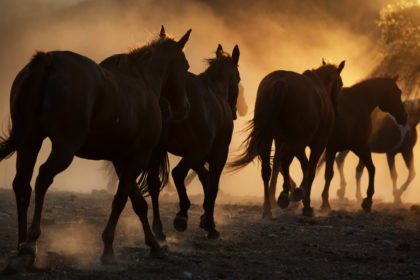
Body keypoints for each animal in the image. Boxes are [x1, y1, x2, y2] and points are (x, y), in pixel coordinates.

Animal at [0, 26, 191, 272]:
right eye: (185, 66)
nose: (185, 107)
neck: (142, 81)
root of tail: (49, 60)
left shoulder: (122, 160)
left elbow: (137, 203)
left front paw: (154, 245)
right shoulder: (137, 158)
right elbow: (120, 200)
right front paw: (108, 249)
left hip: (30, 141)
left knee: (22, 185)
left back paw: (20, 244)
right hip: (63, 149)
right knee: (42, 178)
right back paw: (31, 242)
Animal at [144, 43, 240, 238]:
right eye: (238, 79)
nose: (234, 112)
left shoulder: (196, 156)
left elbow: (205, 178)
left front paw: (205, 217)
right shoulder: (217, 154)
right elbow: (213, 185)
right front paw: (210, 224)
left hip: (160, 152)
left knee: (154, 183)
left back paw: (158, 228)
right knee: (177, 173)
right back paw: (181, 216)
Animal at [230, 59, 344, 218]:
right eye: (341, 84)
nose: (338, 111)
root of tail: (281, 83)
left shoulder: (285, 141)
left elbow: (296, 164)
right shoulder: (316, 143)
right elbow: (310, 169)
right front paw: (305, 202)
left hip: (269, 138)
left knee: (267, 169)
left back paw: (268, 208)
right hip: (296, 140)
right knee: (287, 162)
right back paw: (285, 195)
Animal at [318, 76, 406, 212]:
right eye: (398, 92)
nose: (404, 117)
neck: (357, 105)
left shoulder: (334, 148)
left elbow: (329, 174)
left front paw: (325, 202)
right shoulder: (359, 146)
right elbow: (371, 169)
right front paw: (368, 200)